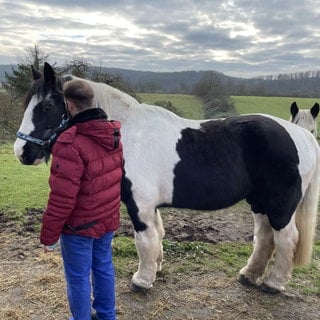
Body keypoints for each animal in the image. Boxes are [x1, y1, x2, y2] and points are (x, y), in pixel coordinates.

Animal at [13, 61, 320, 294]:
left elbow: (145, 240)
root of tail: (302, 135)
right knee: (265, 237)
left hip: (280, 206)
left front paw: (142, 280)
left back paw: (273, 283)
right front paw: (156, 268)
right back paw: (249, 274)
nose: (22, 152)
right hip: (260, 202)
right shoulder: (150, 206)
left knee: (286, 238)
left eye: (47, 107)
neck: (124, 133)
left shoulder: (140, 205)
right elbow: (157, 235)